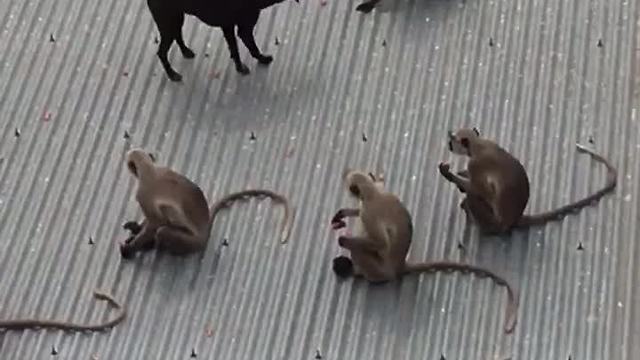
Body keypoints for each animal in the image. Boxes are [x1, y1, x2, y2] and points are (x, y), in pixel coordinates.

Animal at [119, 149, 292, 258]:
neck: (150, 170)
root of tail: (206, 232)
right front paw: (136, 230)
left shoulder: (143, 193)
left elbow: (155, 222)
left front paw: (129, 249)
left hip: (190, 242)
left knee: (162, 231)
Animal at [148, 0, 300, 81]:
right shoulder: (244, 29)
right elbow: (250, 48)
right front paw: (257, 60)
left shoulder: (228, 27)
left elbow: (234, 49)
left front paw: (239, 66)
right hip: (168, 22)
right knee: (161, 52)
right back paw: (172, 74)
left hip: (176, 19)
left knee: (177, 35)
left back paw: (186, 52)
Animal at [332, 170, 516, 334]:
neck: (372, 192)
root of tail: (399, 266)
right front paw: (343, 213)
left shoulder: (369, 212)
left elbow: (381, 243)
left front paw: (343, 240)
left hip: (380, 270)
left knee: (361, 251)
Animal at [438, 128, 616, 235]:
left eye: (452, 141)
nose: (448, 145)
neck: (477, 144)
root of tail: (514, 219)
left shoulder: (476, 164)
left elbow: (482, 191)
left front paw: (450, 175)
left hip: (494, 223)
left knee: (473, 197)